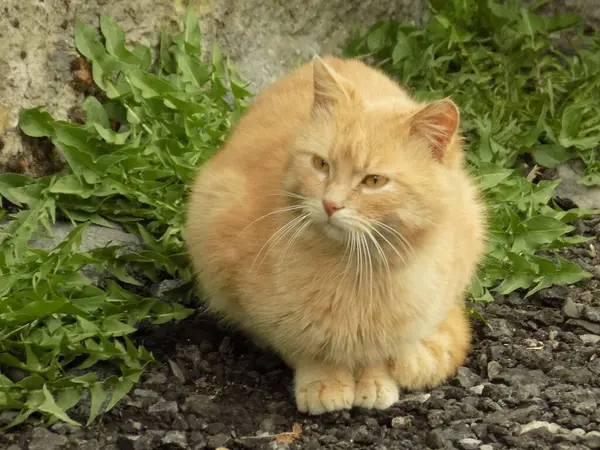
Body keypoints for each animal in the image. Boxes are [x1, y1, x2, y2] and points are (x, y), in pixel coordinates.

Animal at [186, 55, 488, 414]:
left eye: (374, 181)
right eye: (321, 164)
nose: (330, 204)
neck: (357, 270)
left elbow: (379, 351)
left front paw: (374, 380)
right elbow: (305, 345)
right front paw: (325, 380)